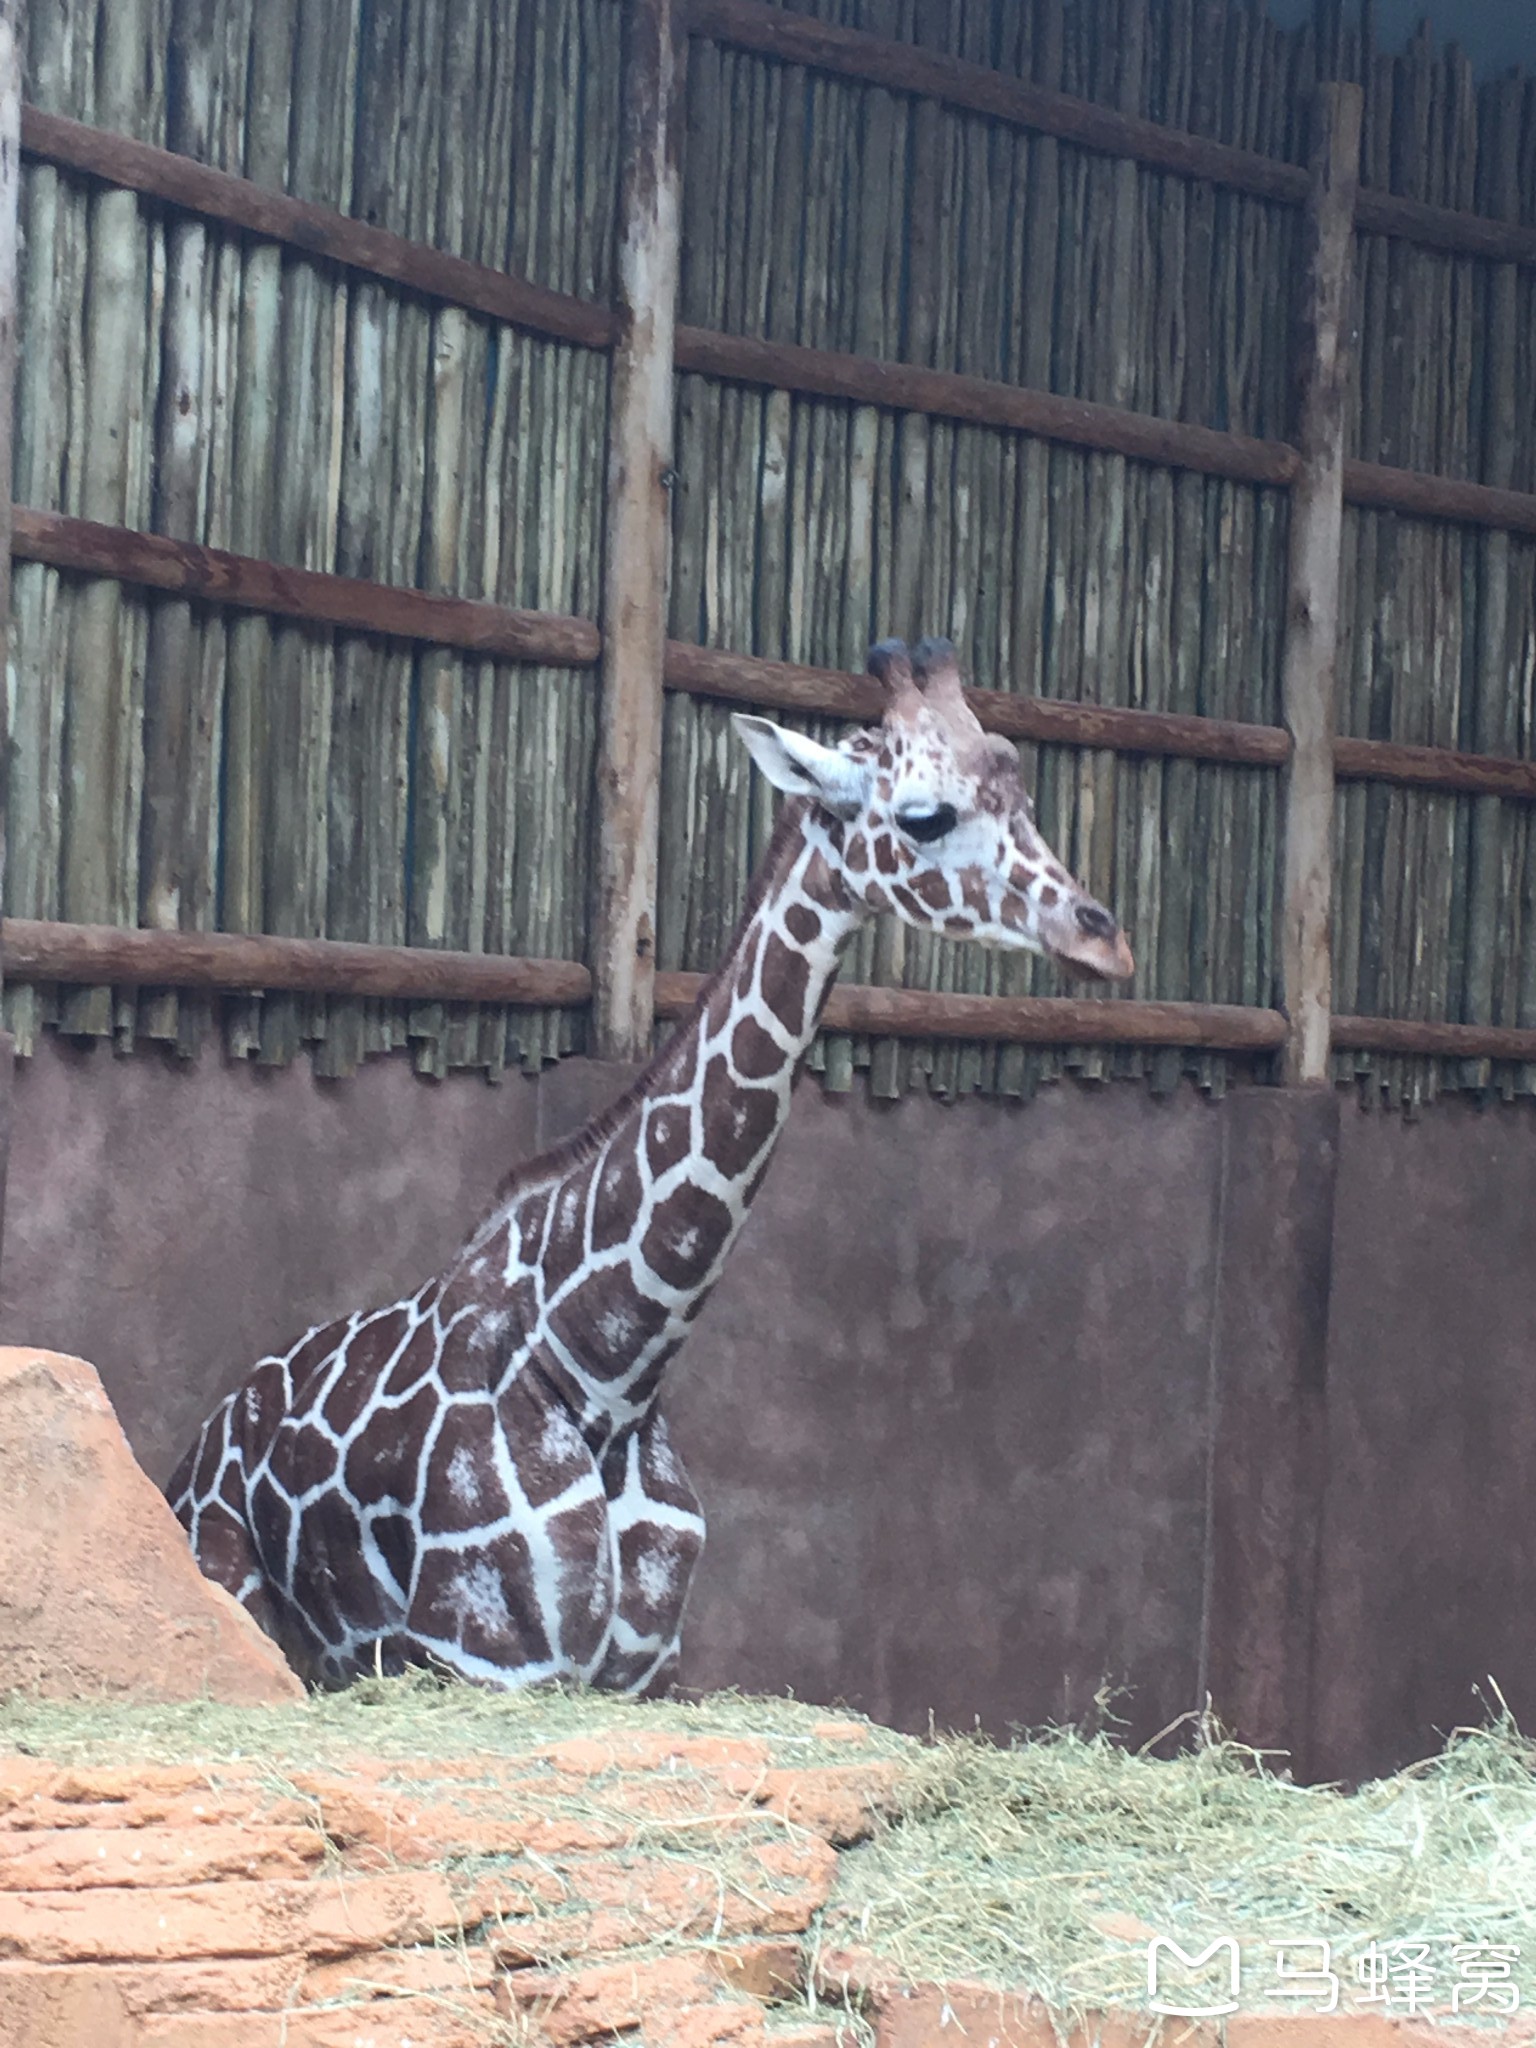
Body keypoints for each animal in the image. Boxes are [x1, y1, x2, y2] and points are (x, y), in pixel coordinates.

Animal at [167, 638, 1138, 1695]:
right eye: (927, 814)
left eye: (1023, 791)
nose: (1106, 940)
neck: (607, 1369)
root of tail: (198, 1446)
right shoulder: (487, 1656)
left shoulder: (642, 1668)